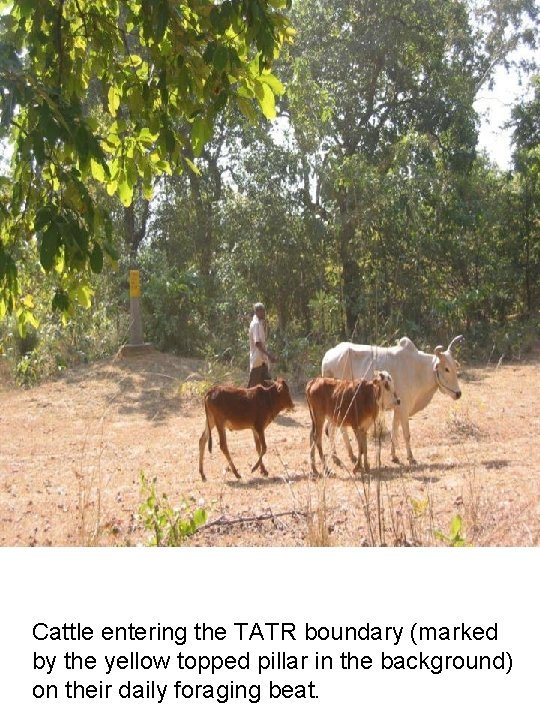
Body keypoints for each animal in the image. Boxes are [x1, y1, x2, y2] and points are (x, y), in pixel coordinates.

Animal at [320, 336, 464, 464]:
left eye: (455, 367)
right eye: (446, 369)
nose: (458, 393)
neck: (418, 370)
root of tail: (327, 356)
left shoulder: (398, 408)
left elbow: (394, 432)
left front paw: (394, 456)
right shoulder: (404, 409)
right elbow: (406, 434)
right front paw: (411, 458)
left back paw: (351, 455)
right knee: (332, 429)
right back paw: (336, 457)